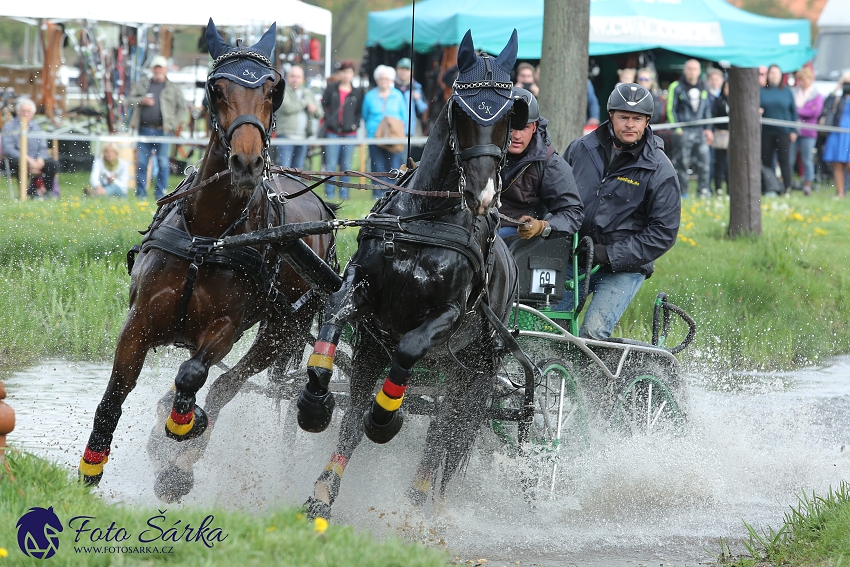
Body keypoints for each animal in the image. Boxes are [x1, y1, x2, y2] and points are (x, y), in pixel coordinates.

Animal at [294, 30, 528, 520]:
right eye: (462, 109)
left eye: (508, 114)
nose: (484, 194)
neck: (424, 218)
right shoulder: (364, 292)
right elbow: (333, 313)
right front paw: (315, 400)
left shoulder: (448, 316)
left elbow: (410, 346)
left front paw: (386, 417)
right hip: (376, 352)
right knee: (357, 420)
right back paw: (324, 492)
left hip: (473, 370)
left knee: (445, 436)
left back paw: (421, 500)